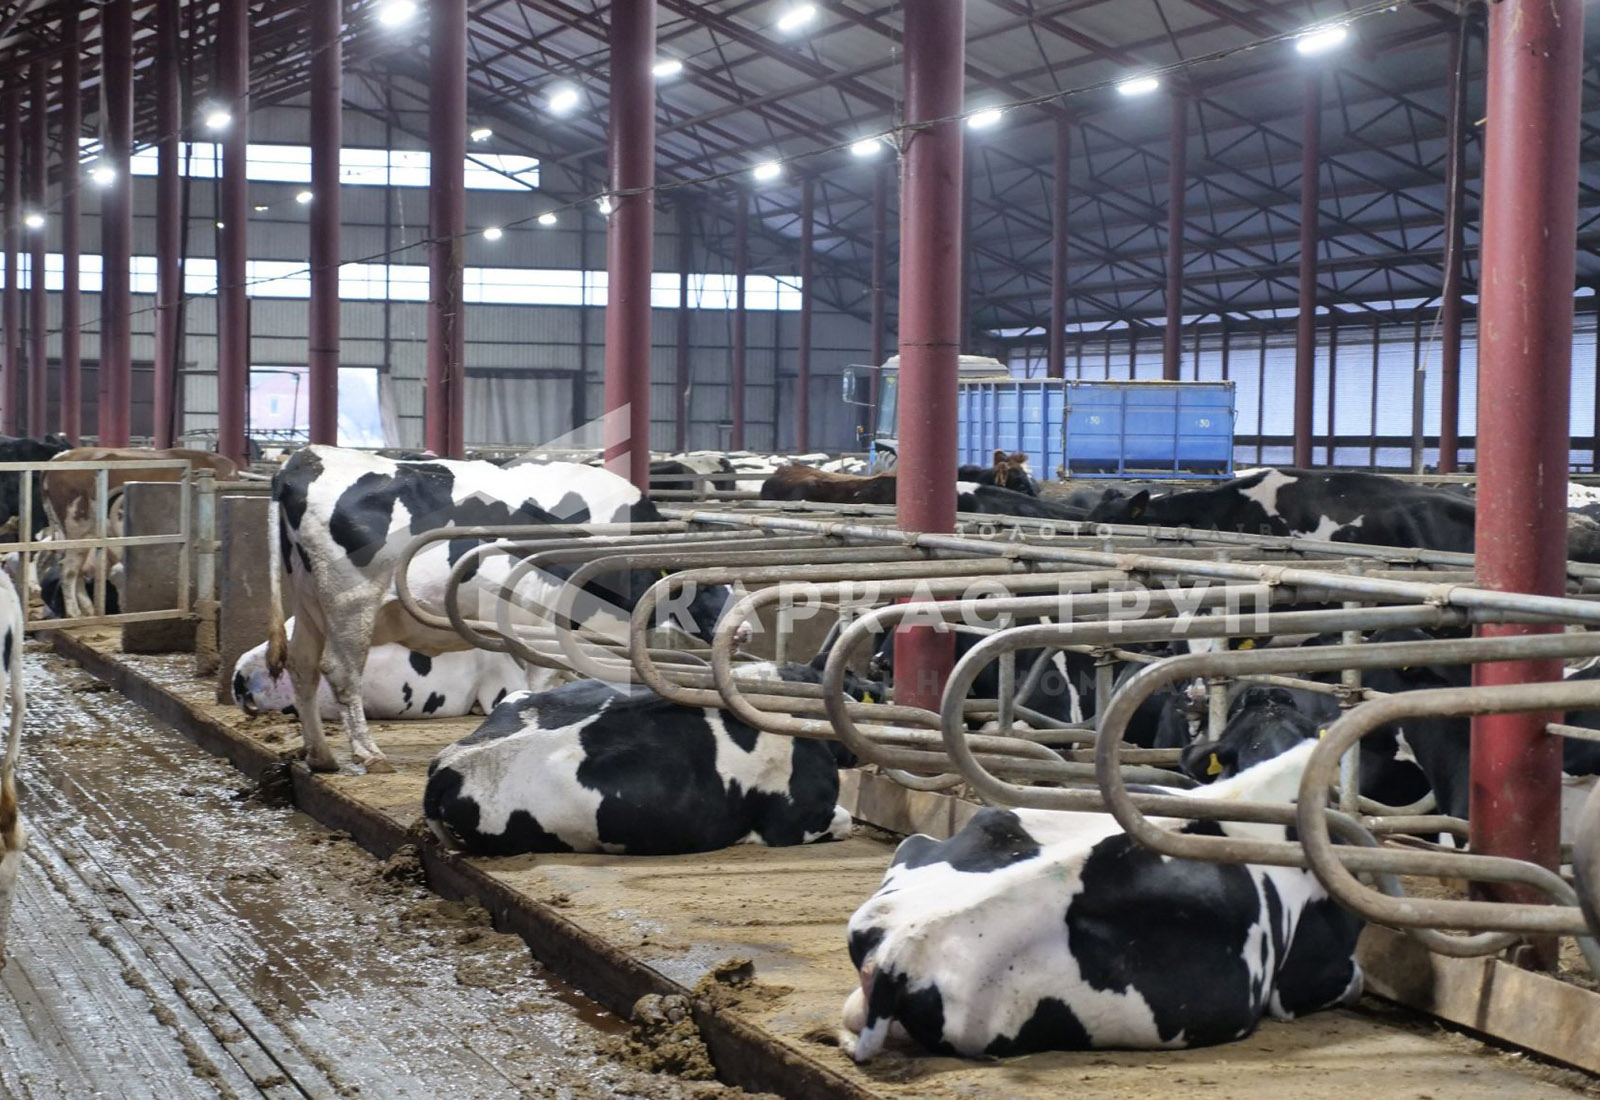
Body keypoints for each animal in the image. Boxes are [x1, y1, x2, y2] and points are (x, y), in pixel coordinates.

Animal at [43, 447, 238, 619]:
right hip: (77, 527)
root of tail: (60, 457)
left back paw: (88, 611)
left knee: (76, 569)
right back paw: (74, 613)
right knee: (69, 569)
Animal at [268, 445, 736, 774]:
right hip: (352, 603)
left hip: (311, 604)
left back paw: (320, 754)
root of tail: (309, 458)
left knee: (303, 668)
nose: (743, 631)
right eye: (703, 587)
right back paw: (368, 753)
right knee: (341, 672)